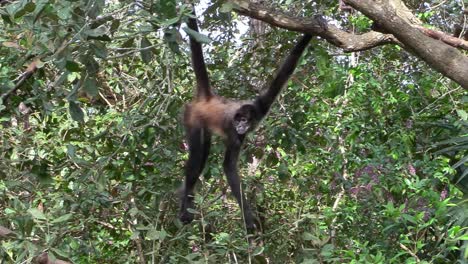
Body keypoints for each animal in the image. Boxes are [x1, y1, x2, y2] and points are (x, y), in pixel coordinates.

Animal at [181, 8, 312, 232]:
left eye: (246, 120)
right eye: (238, 121)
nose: (242, 126)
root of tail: (208, 98)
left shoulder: (260, 107)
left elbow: (285, 72)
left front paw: (311, 31)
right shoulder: (234, 132)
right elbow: (229, 167)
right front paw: (249, 218)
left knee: (203, 154)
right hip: (193, 118)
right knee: (196, 158)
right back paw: (185, 207)